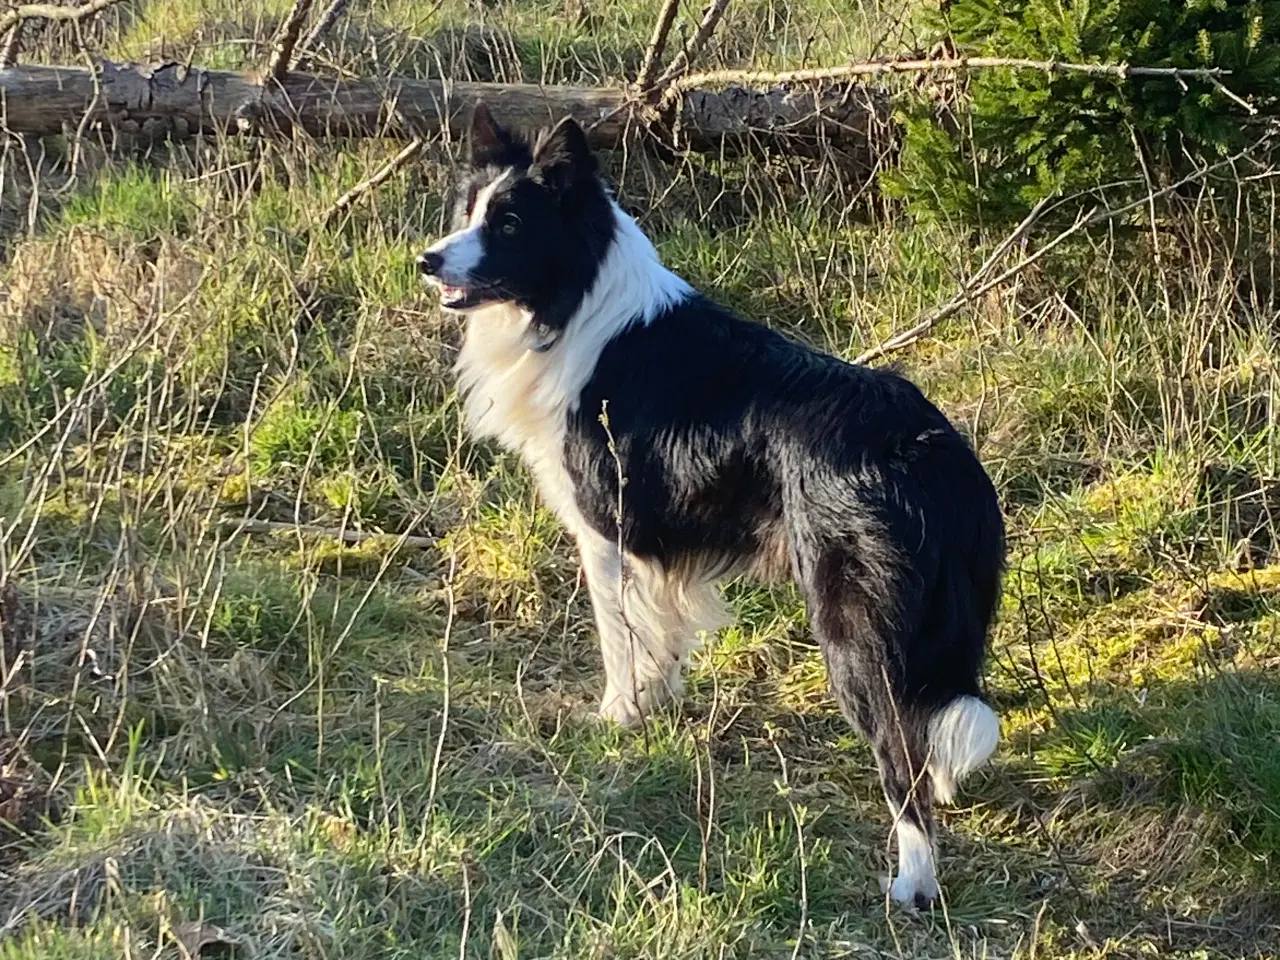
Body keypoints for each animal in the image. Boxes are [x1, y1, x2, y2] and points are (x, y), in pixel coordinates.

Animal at [419, 104, 1008, 911]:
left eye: (509, 224)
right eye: (466, 211)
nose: (428, 260)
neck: (577, 299)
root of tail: (929, 450)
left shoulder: (608, 533)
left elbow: (619, 637)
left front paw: (618, 716)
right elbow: (661, 637)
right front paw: (656, 703)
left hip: (855, 629)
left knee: (898, 755)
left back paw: (913, 880)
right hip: (942, 621)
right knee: (930, 718)